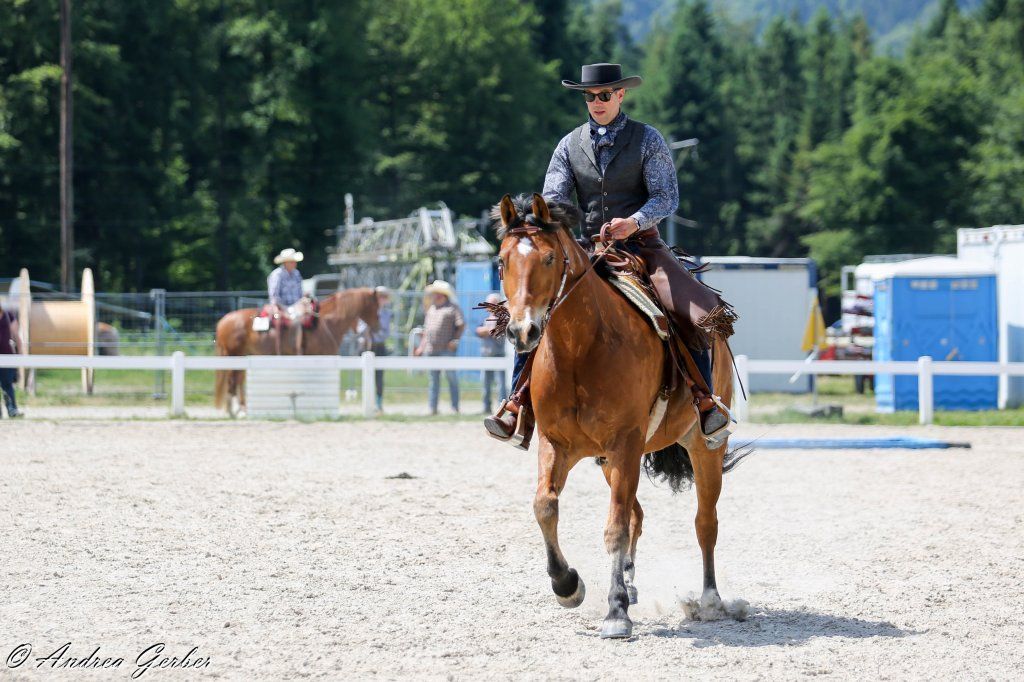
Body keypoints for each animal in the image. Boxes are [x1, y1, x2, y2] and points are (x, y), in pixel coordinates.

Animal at [213, 288, 381, 416]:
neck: (327, 323)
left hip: (241, 356)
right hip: (233, 356)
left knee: (237, 380)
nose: (378, 326)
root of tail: (223, 321)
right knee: (232, 381)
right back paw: (235, 411)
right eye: (375, 306)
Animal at [496, 193, 749, 639]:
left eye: (549, 258)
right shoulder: (556, 444)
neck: (580, 351)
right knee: (638, 515)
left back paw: (709, 600)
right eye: (502, 261)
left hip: (702, 449)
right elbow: (545, 506)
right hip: (607, 461)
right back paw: (629, 584)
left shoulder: (626, 442)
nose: (522, 332)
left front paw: (615, 613)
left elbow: (614, 526)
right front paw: (568, 585)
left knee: (704, 522)